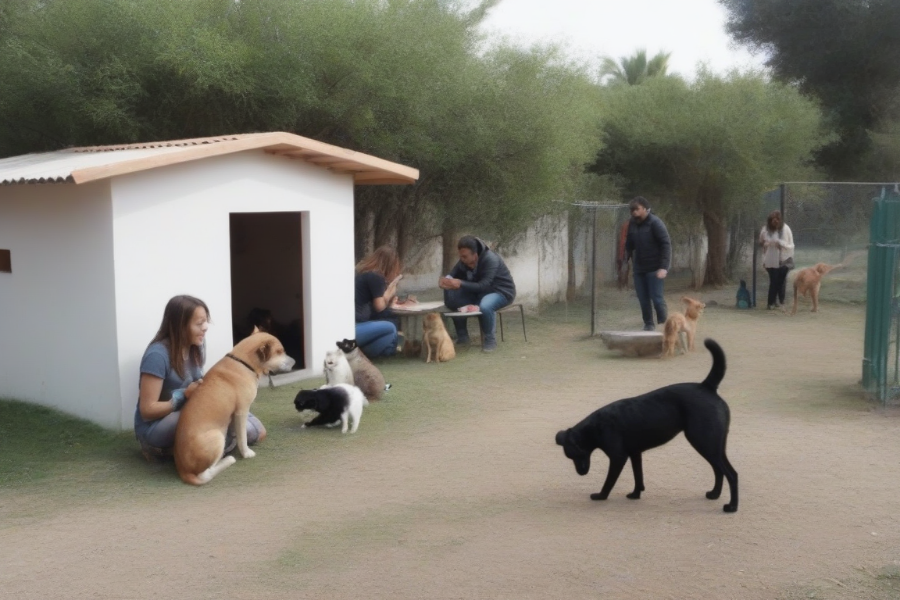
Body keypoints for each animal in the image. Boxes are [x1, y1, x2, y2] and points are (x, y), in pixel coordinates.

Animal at [171, 330, 292, 486]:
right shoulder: (242, 411)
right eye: (280, 351)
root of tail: (184, 471)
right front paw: (246, 453)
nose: (295, 362)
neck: (243, 362)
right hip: (217, 437)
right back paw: (228, 460)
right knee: (205, 474)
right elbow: (243, 437)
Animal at [556, 340, 740, 512]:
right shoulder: (635, 453)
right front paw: (635, 494)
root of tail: (707, 386)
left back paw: (731, 507)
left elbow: (609, 481)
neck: (595, 428)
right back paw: (714, 494)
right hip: (715, 446)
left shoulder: (618, 457)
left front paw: (601, 495)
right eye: (570, 457)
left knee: (731, 474)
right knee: (719, 470)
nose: (581, 473)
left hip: (704, 442)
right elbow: (638, 476)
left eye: (575, 454)